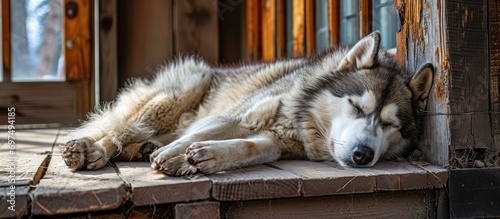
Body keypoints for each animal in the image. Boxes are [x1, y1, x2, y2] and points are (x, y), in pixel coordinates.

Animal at [61, 31, 434, 175]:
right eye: (357, 107)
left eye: (390, 125)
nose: (362, 155)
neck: (301, 120)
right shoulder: (235, 116)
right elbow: (195, 135)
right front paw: (176, 155)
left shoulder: (273, 142)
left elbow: (249, 148)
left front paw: (206, 158)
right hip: (184, 90)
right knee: (118, 128)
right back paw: (92, 149)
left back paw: (140, 149)